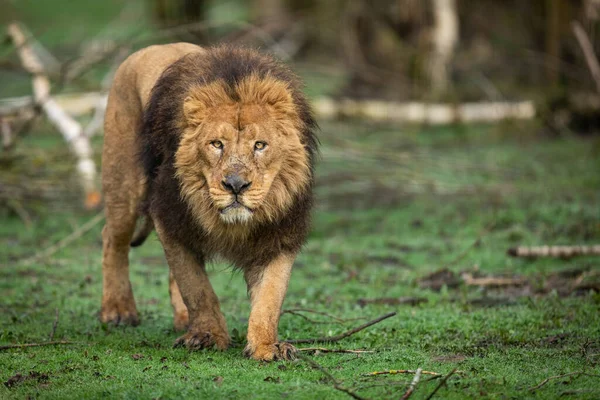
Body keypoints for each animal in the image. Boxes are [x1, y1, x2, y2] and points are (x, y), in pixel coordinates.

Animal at [101, 42, 318, 360]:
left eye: (260, 145)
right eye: (216, 144)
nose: (236, 185)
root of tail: (154, 47)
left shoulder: (280, 234)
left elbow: (270, 297)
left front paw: (267, 346)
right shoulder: (170, 218)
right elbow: (196, 286)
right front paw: (207, 336)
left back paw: (182, 319)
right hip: (123, 184)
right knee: (113, 239)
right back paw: (118, 310)